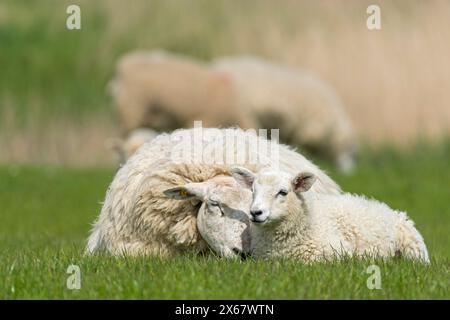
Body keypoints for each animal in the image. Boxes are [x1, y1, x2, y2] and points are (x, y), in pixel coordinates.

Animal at [230, 166, 430, 264]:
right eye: (253, 191)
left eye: (283, 192)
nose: (255, 212)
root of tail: (388, 208)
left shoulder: (334, 253)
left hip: (414, 249)